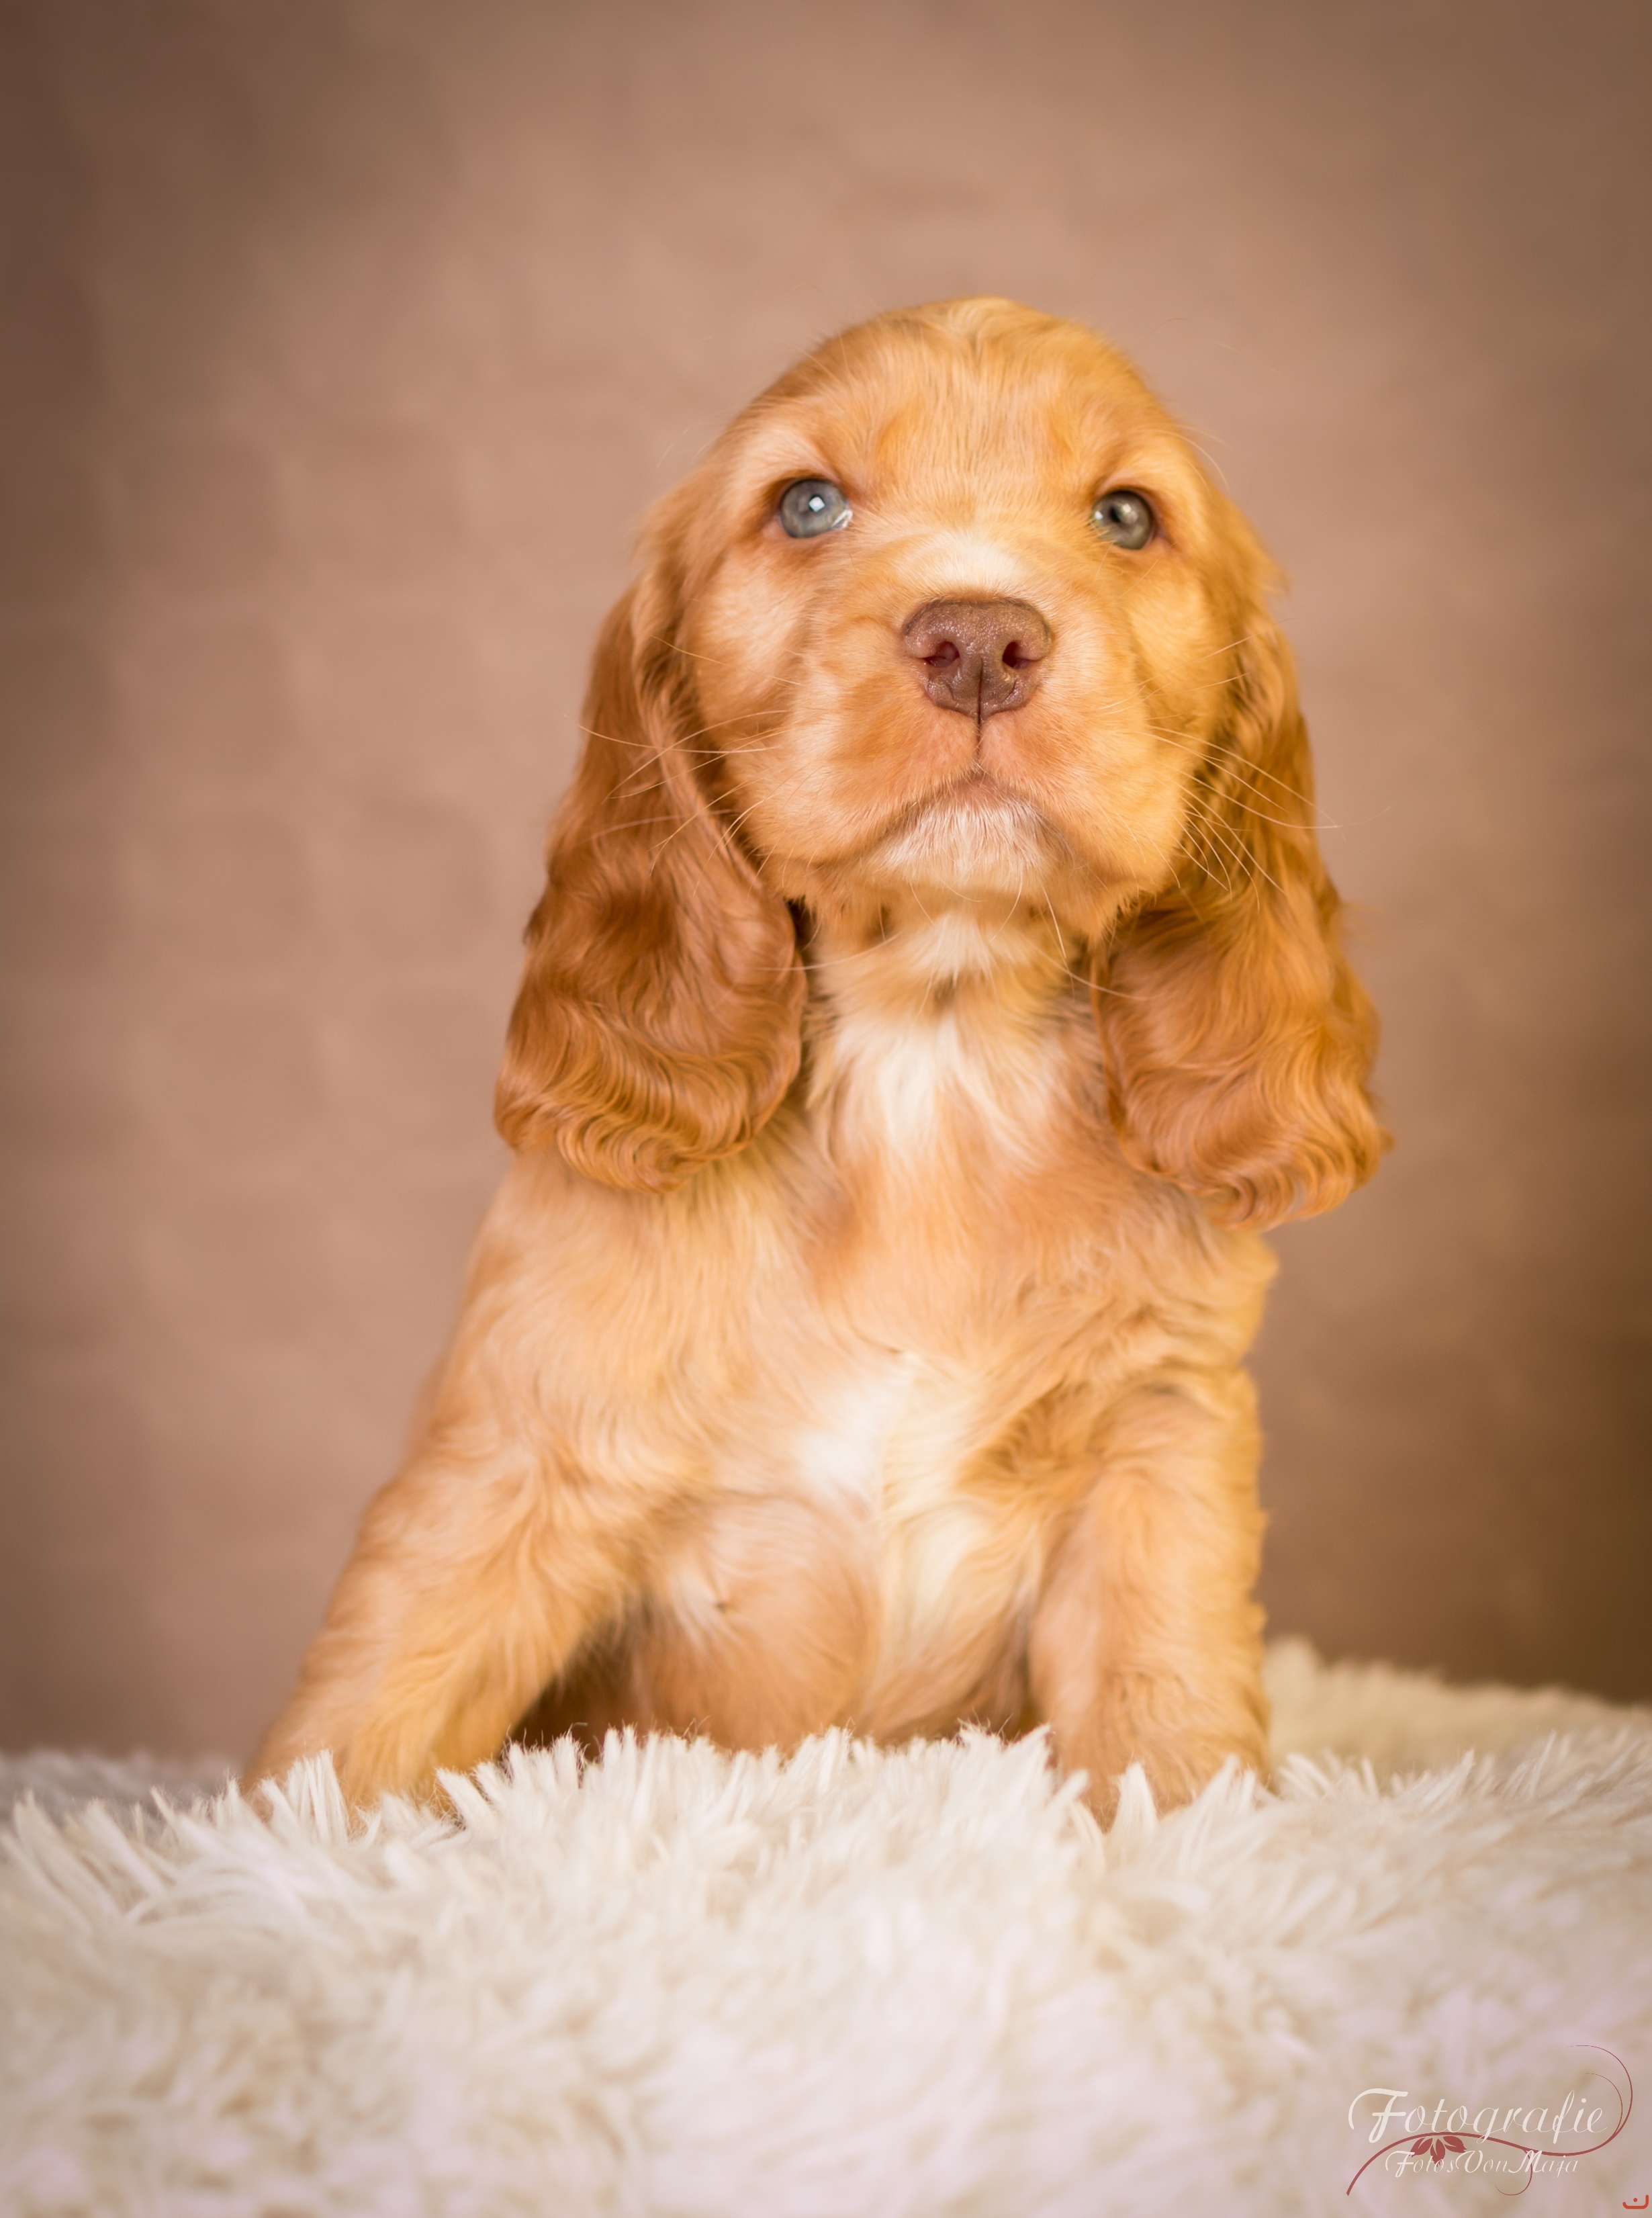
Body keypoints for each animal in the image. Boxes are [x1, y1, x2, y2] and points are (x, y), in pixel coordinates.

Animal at [254, 297, 1382, 1817]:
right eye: (806, 503)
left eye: (1128, 515)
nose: (980, 637)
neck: (931, 1055)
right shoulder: (516, 1456)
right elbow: (365, 1719)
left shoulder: (1161, 1445)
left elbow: (1169, 1726)